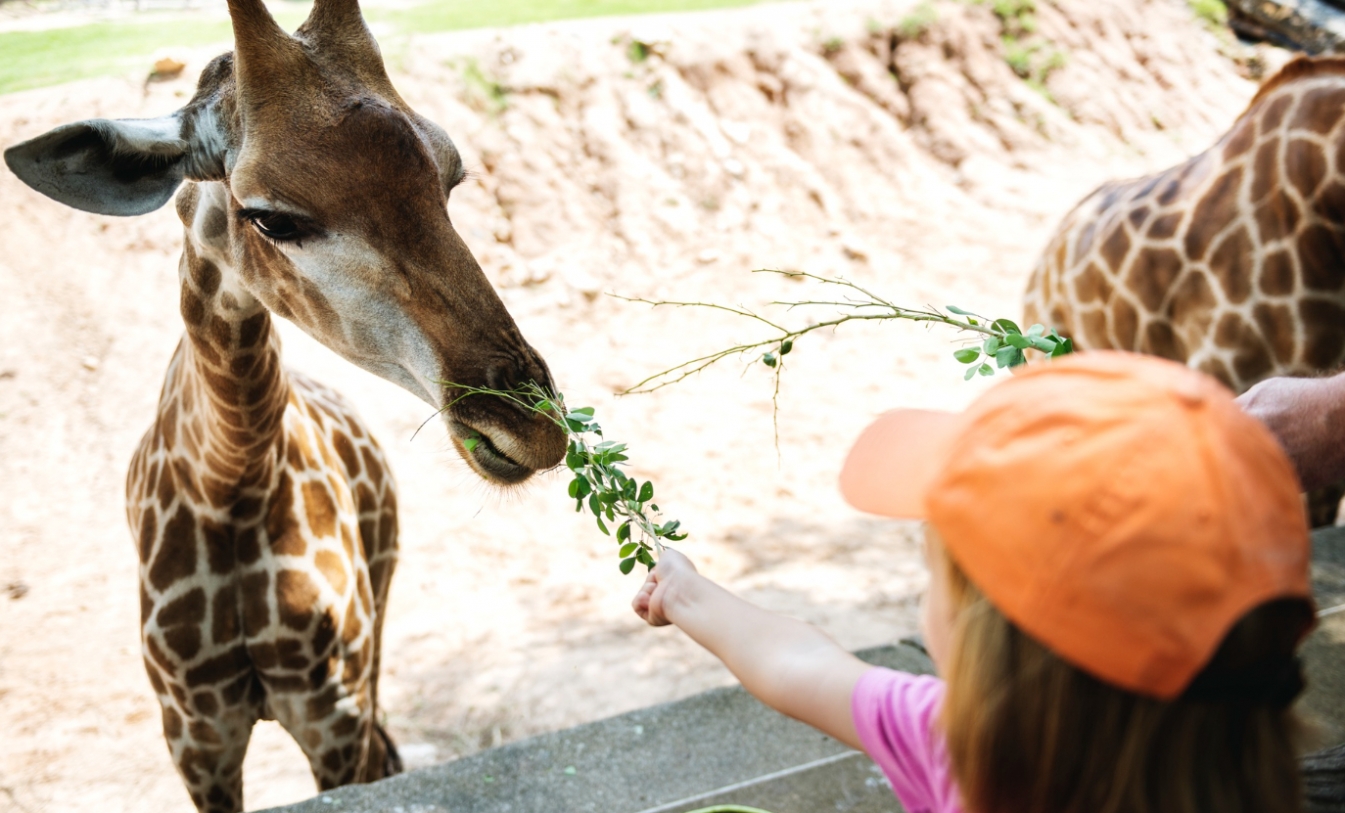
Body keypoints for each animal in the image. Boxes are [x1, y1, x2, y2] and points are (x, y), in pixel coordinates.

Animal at [3, 0, 567, 807]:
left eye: (450, 177)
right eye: (271, 217)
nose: (530, 426)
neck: (230, 479)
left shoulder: (330, 709)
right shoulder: (195, 734)